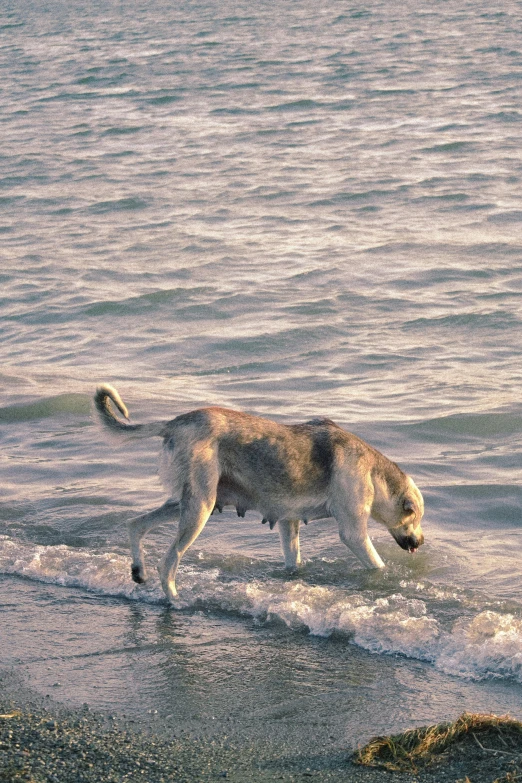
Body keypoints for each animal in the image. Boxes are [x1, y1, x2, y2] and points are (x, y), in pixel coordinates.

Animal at [93, 384, 422, 600]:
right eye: (415, 519)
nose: (420, 541)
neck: (375, 473)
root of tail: (176, 423)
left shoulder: (289, 525)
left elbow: (293, 559)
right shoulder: (353, 533)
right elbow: (376, 563)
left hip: (188, 502)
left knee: (136, 524)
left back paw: (138, 569)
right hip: (199, 508)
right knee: (168, 562)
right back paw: (173, 598)